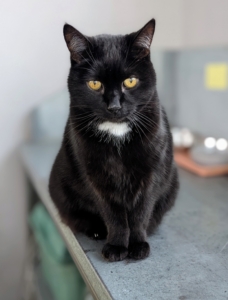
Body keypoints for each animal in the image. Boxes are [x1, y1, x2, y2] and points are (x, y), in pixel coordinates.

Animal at [49, 18, 179, 262]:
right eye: (94, 84)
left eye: (130, 81)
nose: (115, 106)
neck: (117, 130)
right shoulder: (97, 176)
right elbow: (113, 214)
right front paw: (117, 246)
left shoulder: (151, 173)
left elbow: (140, 212)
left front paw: (137, 245)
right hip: (60, 187)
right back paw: (97, 231)